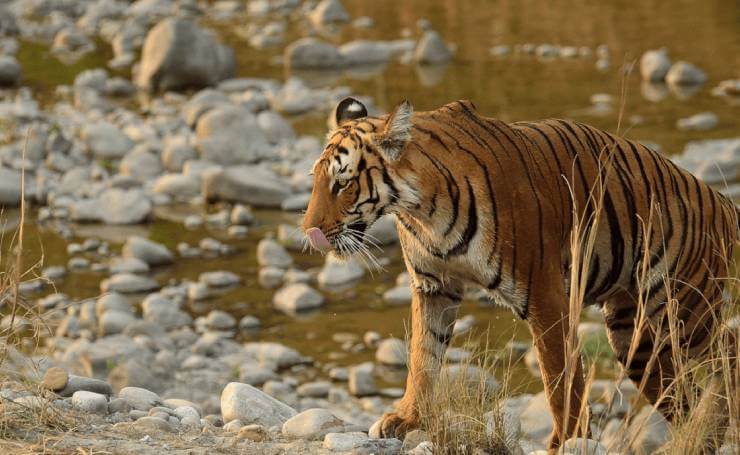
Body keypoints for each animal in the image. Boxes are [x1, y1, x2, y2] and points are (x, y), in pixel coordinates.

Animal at [300, 98, 740, 450]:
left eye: (343, 183)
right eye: (317, 180)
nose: (308, 231)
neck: (420, 211)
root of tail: (721, 200)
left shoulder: (545, 295)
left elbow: (560, 379)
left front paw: (568, 441)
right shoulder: (433, 288)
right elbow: (423, 357)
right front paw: (406, 418)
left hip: (685, 308)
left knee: (729, 354)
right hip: (637, 335)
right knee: (680, 393)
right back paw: (696, 438)